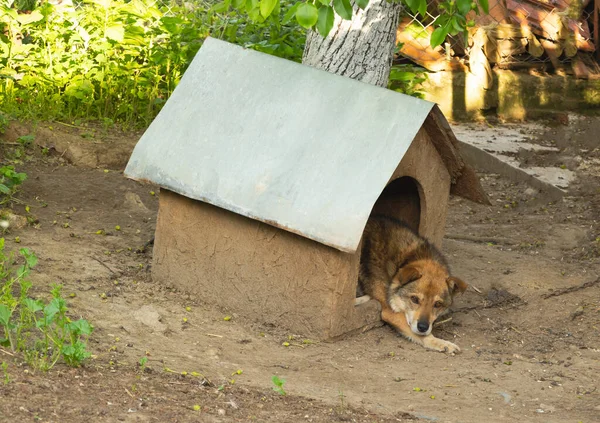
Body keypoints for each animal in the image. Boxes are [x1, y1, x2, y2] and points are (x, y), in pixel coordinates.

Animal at [356, 217, 468, 352]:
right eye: (414, 299)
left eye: (437, 304)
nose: (423, 327)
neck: (402, 260)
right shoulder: (389, 311)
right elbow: (423, 336)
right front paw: (443, 343)